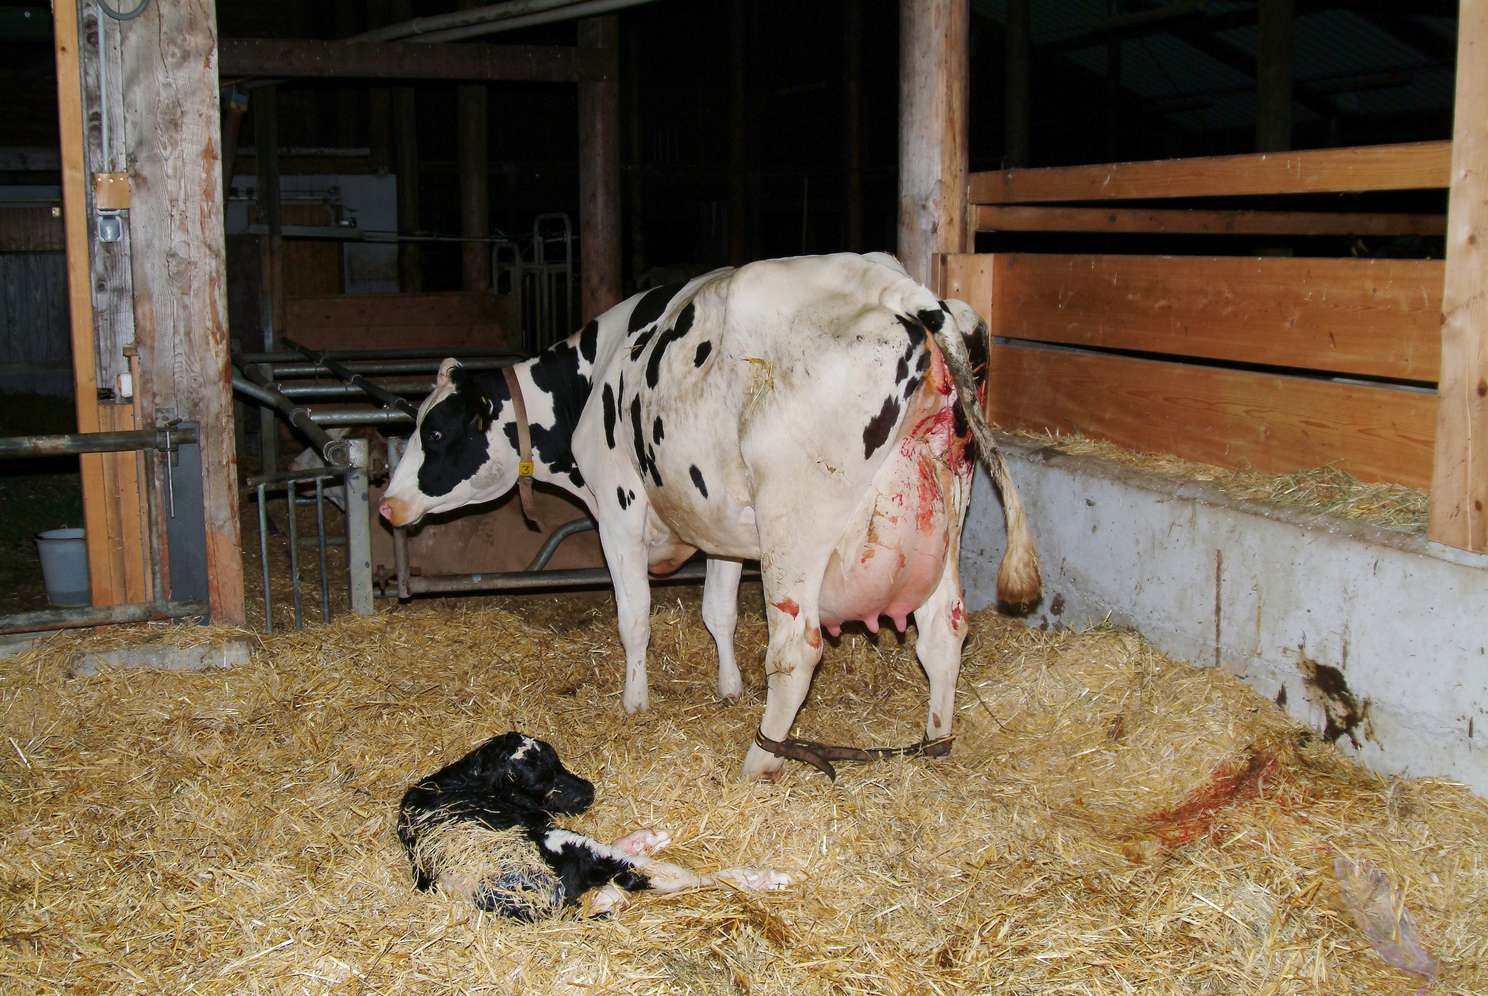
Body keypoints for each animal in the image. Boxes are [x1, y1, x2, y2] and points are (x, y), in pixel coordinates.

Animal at [380, 253, 1040, 781]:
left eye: (435, 432)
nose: (388, 505)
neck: (592, 378)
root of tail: (892, 285)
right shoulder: (719, 523)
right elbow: (718, 612)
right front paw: (728, 688)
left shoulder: (617, 509)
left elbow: (634, 618)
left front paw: (635, 701)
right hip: (944, 513)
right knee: (944, 632)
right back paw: (933, 744)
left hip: (794, 526)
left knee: (796, 651)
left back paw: (760, 759)